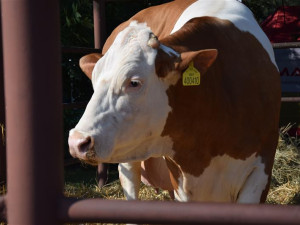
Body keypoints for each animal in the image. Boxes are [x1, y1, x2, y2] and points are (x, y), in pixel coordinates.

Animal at [68, 0, 282, 203]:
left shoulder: (260, 172)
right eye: (94, 80)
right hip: (128, 161)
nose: (77, 141)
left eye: (134, 82)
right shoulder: (181, 181)